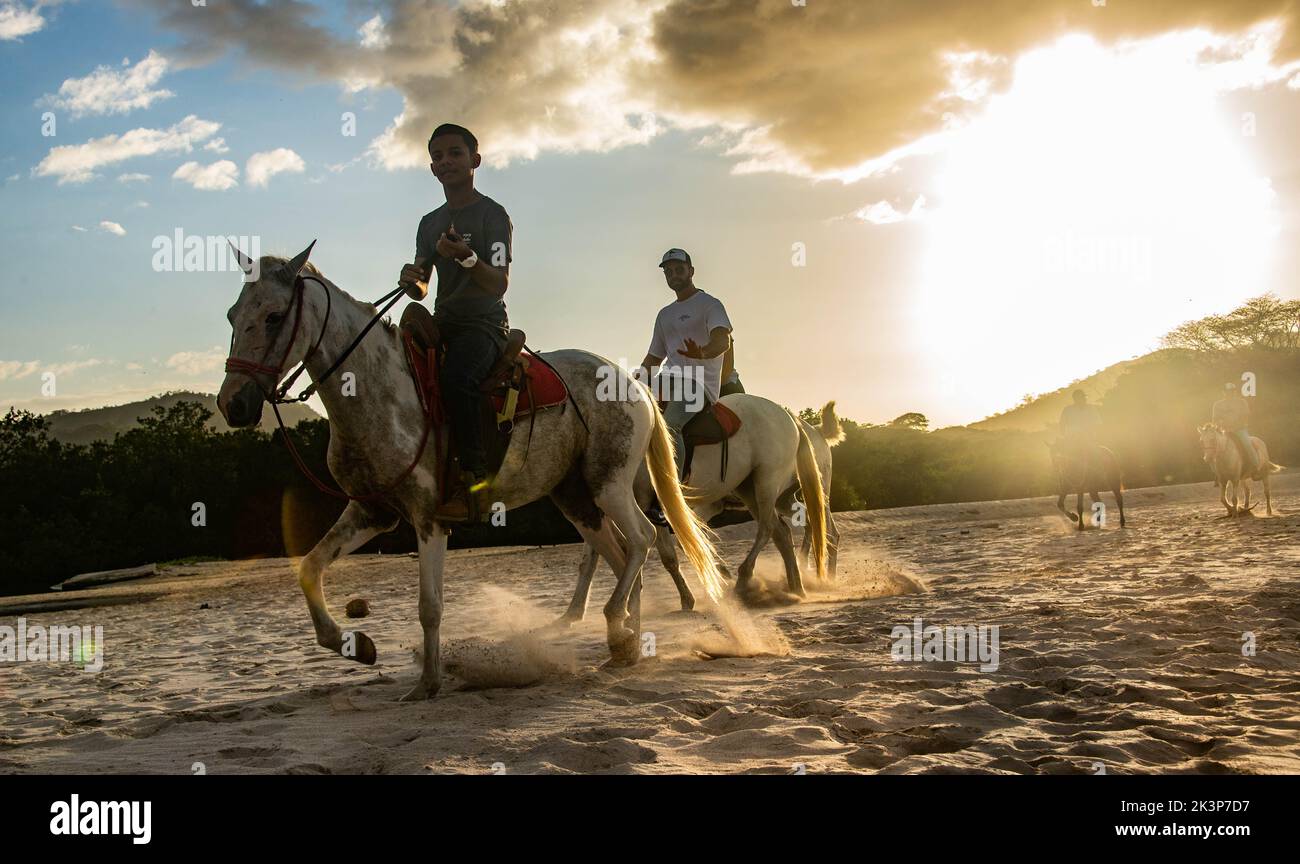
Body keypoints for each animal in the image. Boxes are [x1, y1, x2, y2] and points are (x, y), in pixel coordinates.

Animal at [217, 240, 728, 696]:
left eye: (274, 316)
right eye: (231, 316)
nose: (232, 405)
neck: (378, 388)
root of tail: (634, 384)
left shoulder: (427, 517)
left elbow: (429, 606)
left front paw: (427, 683)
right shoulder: (371, 512)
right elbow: (309, 567)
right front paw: (357, 646)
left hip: (610, 484)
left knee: (643, 540)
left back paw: (618, 628)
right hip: (575, 498)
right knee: (621, 557)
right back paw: (626, 646)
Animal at [556, 389, 821, 621]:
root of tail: (787, 414)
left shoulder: (646, 506)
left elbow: (666, 553)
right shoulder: (603, 509)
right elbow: (591, 560)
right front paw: (572, 613)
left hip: (766, 483)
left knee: (767, 529)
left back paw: (744, 580)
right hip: (749, 489)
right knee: (781, 532)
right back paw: (795, 587)